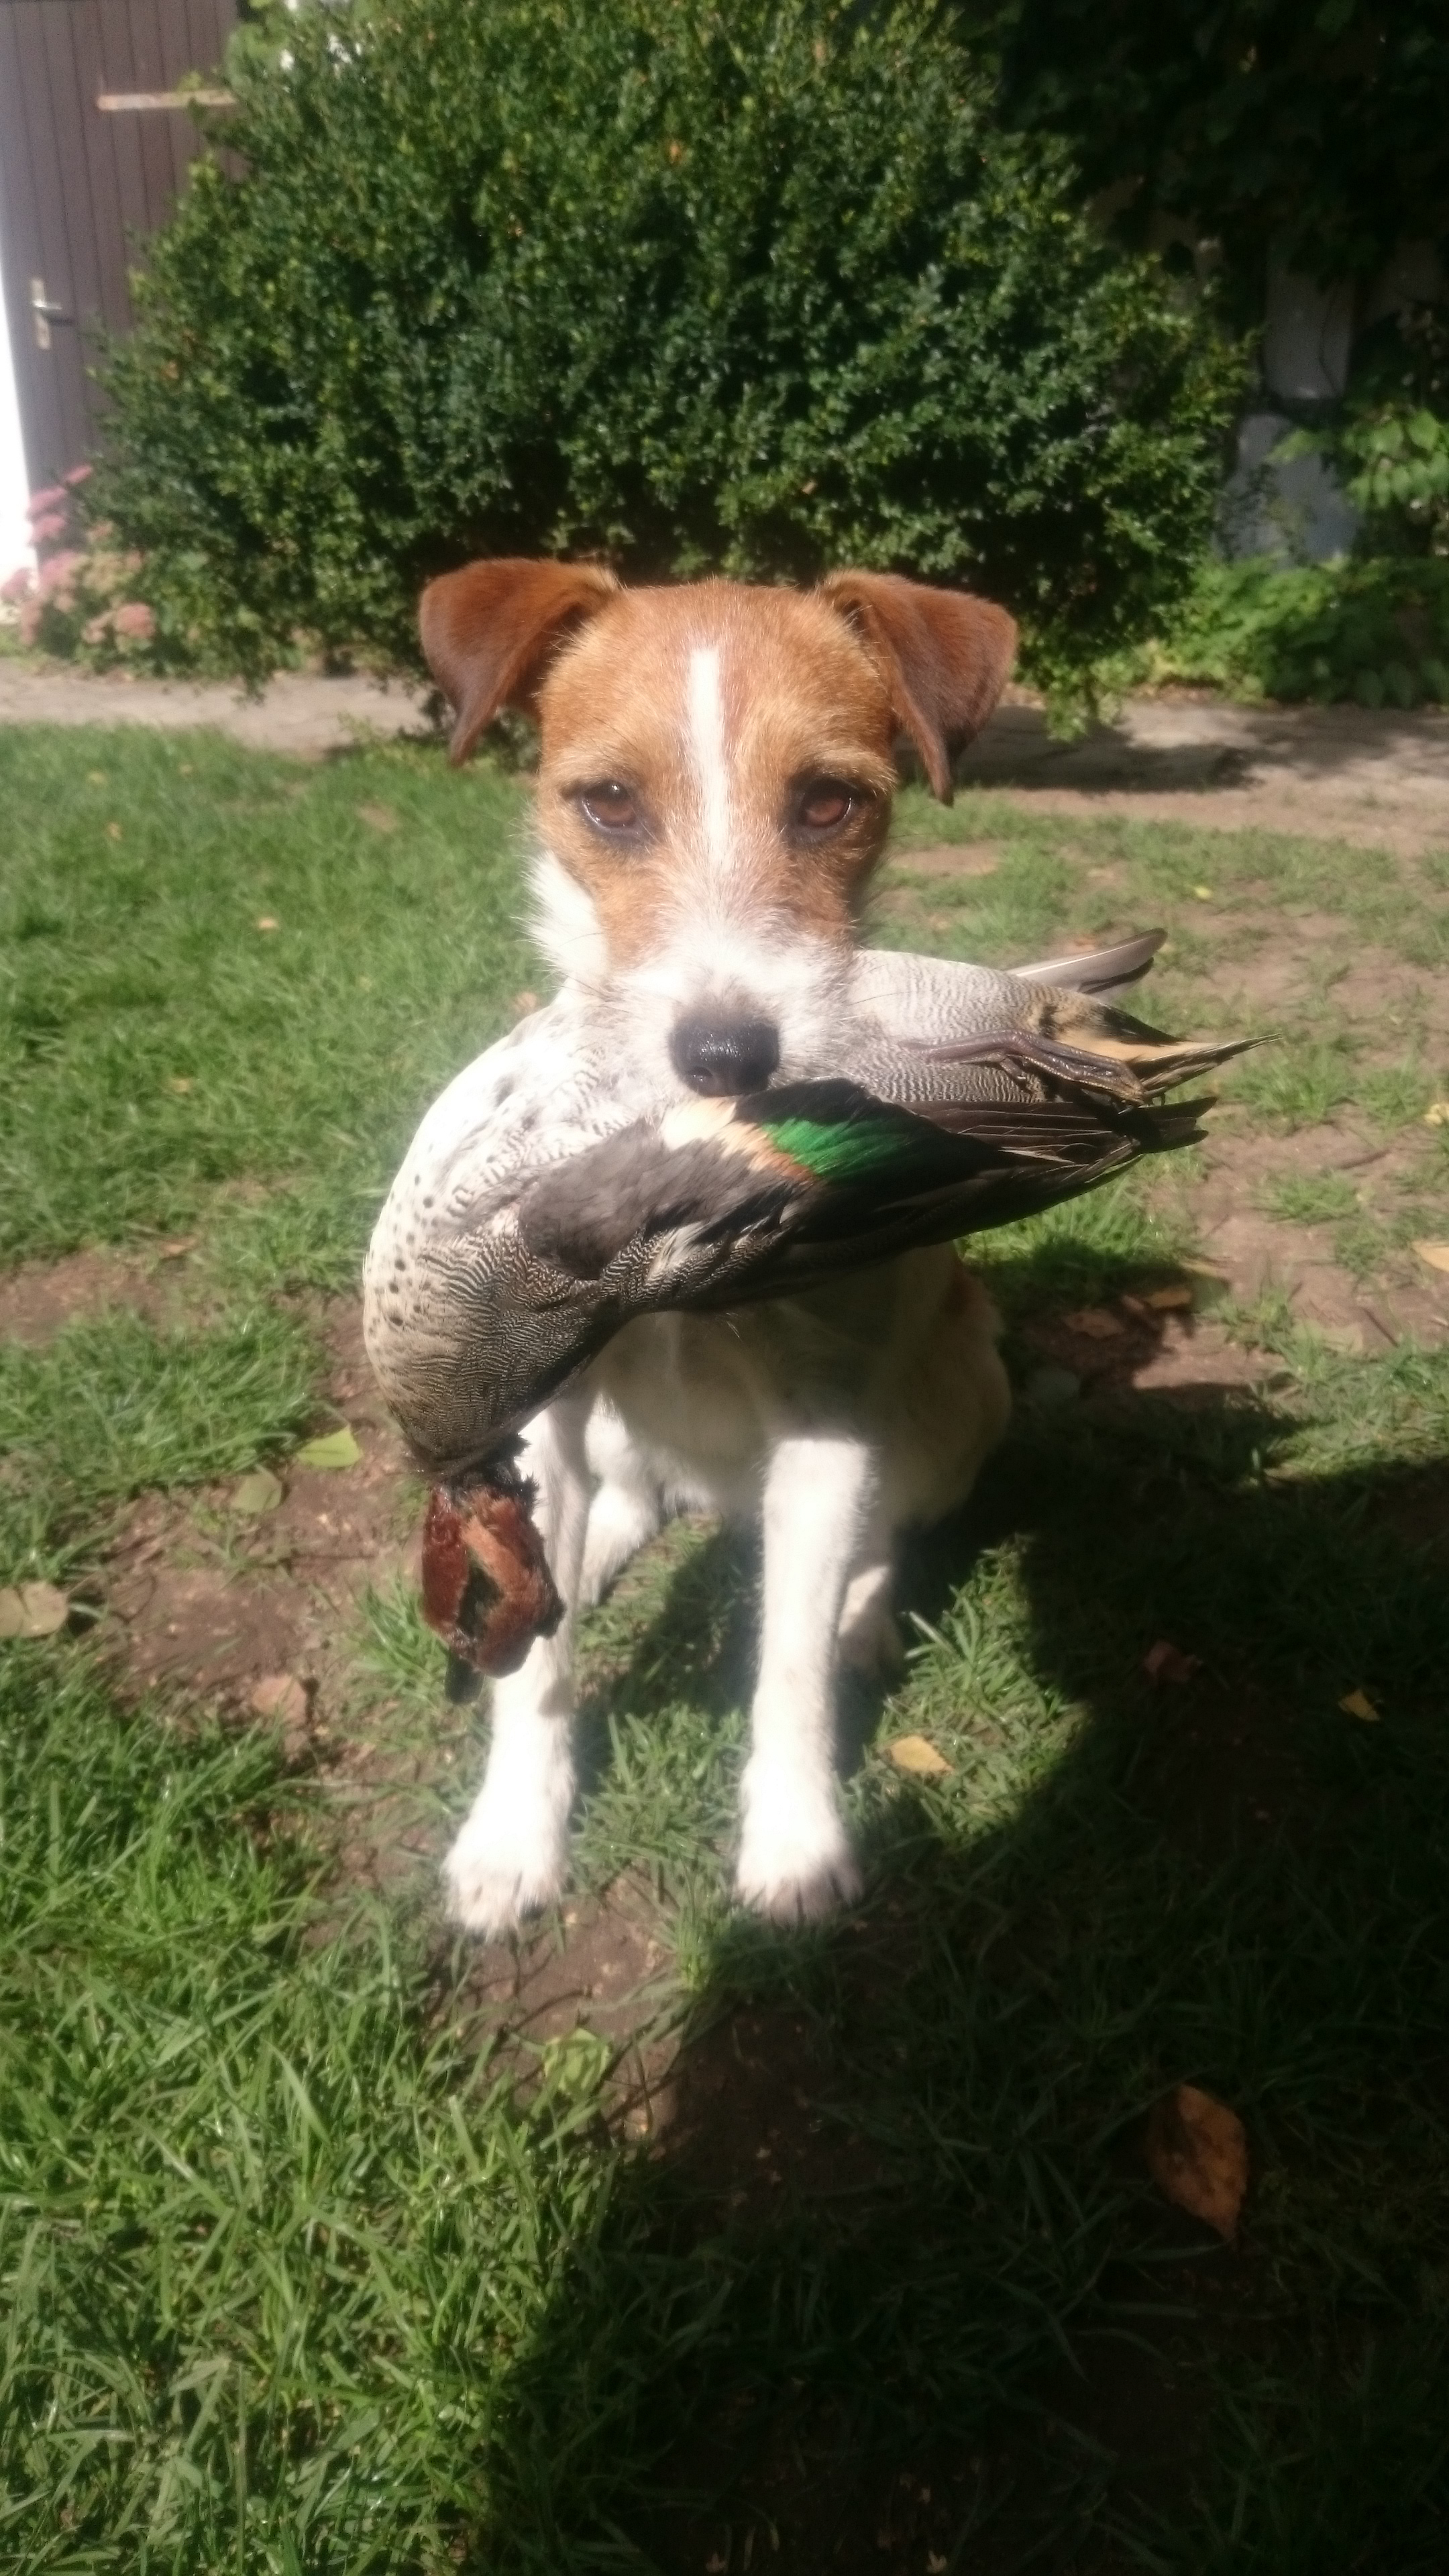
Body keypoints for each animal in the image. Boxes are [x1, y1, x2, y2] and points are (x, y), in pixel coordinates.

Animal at [412, 564, 1010, 1937]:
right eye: (610, 802)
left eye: (830, 801)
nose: (729, 1057)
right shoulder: (552, 1404)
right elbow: (538, 1670)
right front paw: (511, 1837)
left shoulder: (829, 1423)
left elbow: (785, 1666)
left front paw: (794, 1844)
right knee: (629, 1500)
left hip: (958, 1389)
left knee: (879, 1537)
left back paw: (858, 1613)